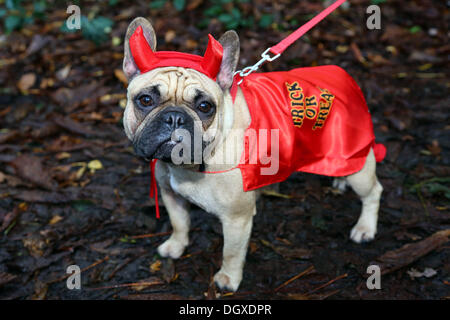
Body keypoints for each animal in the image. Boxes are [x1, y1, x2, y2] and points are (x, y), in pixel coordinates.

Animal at [122, 18, 384, 292]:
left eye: (205, 107)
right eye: (145, 100)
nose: (174, 117)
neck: (193, 165)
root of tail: (345, 78)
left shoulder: (237, 219)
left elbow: (231, 252)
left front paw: (228, 279)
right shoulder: (171, 194)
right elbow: (179, 223)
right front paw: (176, 245)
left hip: (357, 160)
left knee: (373, 191)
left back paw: (365, 227)